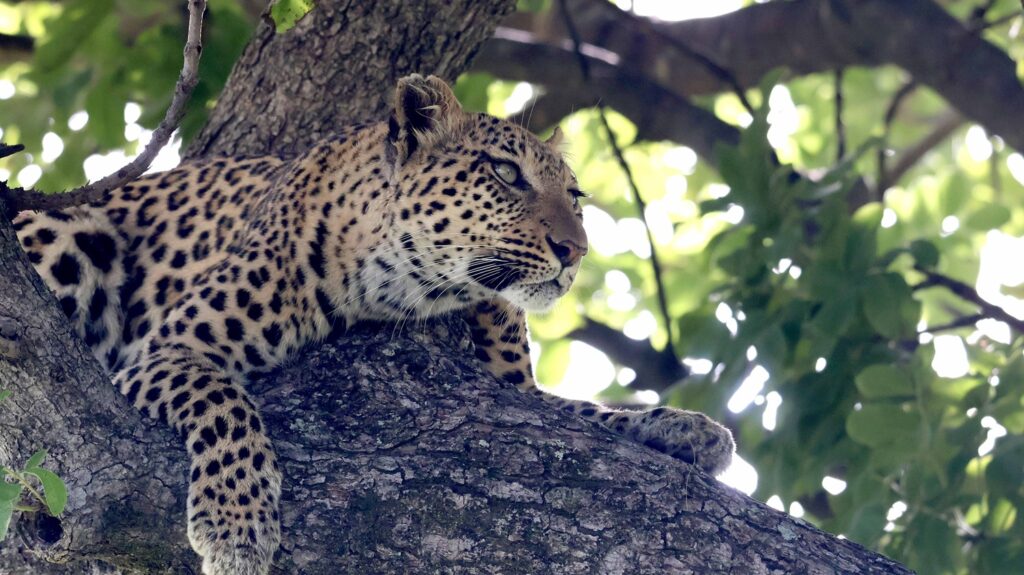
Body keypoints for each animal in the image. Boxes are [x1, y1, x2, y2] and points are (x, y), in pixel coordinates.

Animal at [14, 75, 734, 574]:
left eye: (576, 195)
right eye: (506, 174)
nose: (575, 251)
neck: (406, 286)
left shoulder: (521, 395)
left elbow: (586, 412)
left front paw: (688, 429)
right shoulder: (168, 349)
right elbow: (226, 406)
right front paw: (237, 525)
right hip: (70, 233)